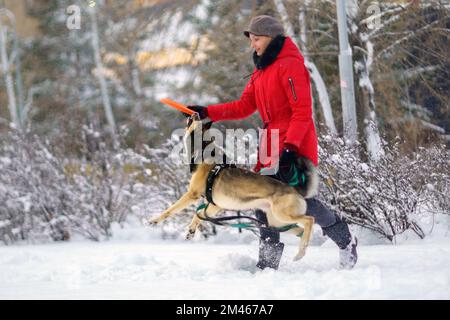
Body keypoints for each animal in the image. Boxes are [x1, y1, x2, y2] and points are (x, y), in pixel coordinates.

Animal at [149, 114, 318, 260]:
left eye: (199, 121)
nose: (196, 113)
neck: (204, 151)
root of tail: (295, 190)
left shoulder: (192, 194)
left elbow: (170, 210)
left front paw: (155, 220)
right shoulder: (214, 205)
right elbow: (198, 215)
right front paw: (191, 230)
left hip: (283, 215)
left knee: (310, 220)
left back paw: (301, 250)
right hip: (277, 222)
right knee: (301, 229)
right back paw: (302, 250)